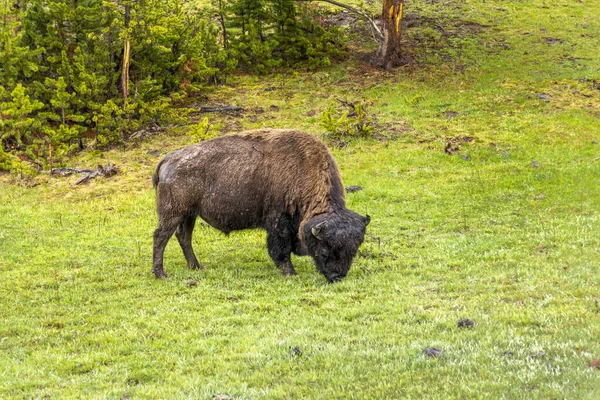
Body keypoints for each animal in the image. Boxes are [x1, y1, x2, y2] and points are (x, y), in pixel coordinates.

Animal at [152, 128, 368, 282]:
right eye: (325, 248)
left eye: (354, 249)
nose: (337, 276)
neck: (303, 168)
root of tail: (168, 159)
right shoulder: (279, 222)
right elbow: (280, 249)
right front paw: (290, 272)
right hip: (173, 213)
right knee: (161, 237)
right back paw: (161, 274)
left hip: (189, 214)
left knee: (184, 237)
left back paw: (196, 267)